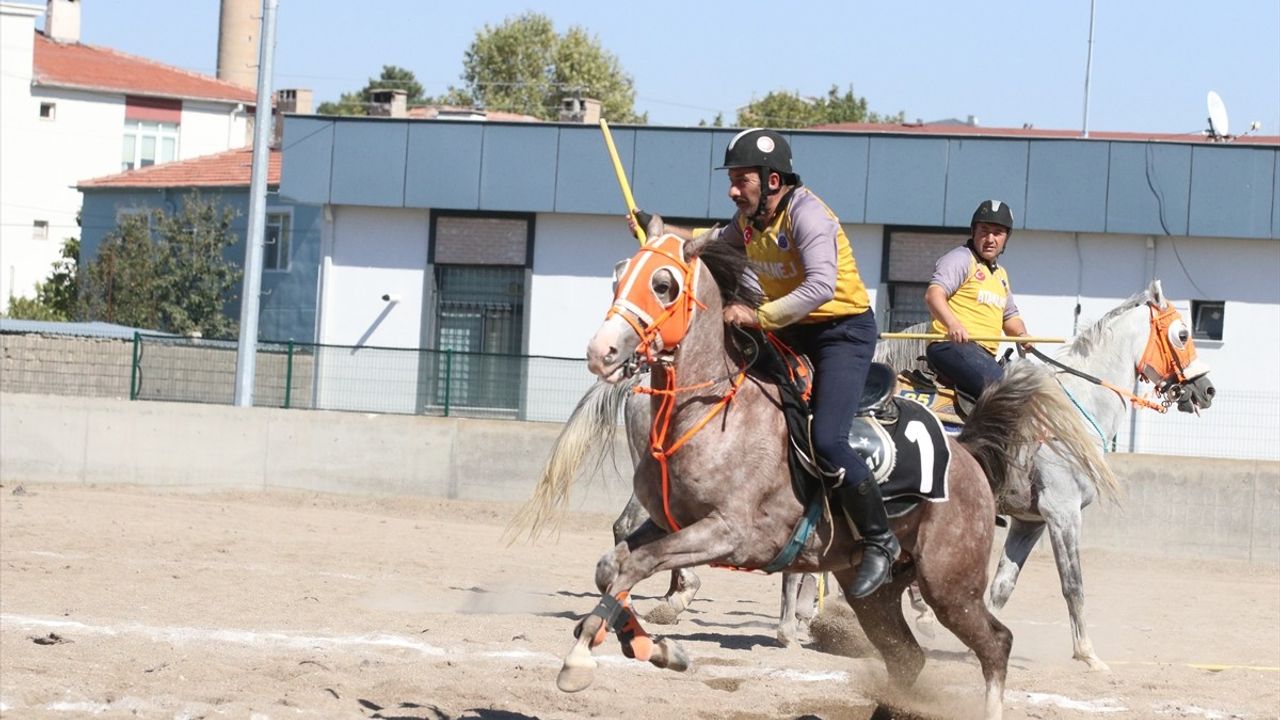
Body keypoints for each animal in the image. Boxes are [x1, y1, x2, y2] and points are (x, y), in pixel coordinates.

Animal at [509, 225, 1111, 717]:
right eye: (618, 277)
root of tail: (967, 456)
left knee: (996, 643)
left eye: (663, 284)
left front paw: (588, 659)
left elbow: (637, 565)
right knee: (909, 660)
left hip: (950, 586)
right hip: (876, 596)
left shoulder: (731, 534)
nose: (601, 351)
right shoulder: (671, 523)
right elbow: (613, 566)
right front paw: (652, 645)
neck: (713, 409)